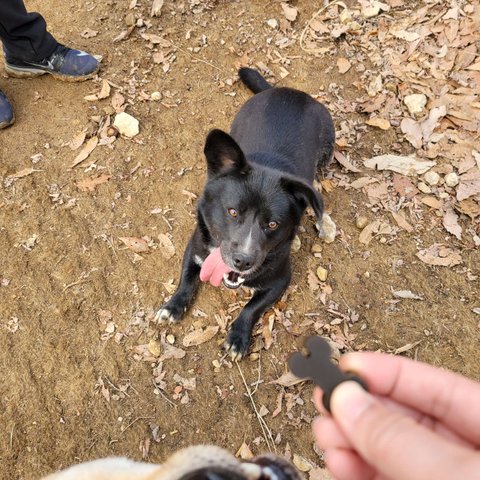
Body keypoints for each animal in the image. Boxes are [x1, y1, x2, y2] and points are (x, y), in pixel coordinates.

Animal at [155, 67, 335, 359]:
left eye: (272, 224)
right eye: (232, 211)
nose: (243, 261)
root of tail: (287, 91)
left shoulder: (280, 280)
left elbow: (252, 307)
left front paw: (238, 337)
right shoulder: (195, 249)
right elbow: (186, 281)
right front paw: (173, 306)